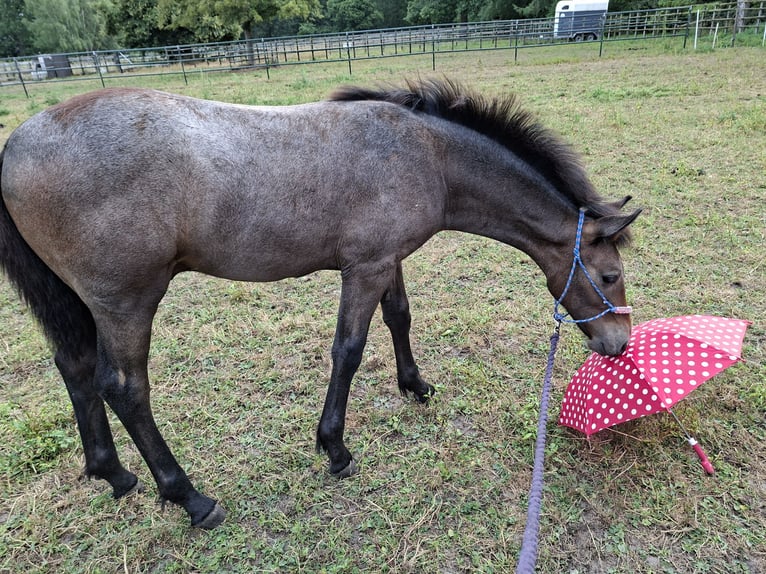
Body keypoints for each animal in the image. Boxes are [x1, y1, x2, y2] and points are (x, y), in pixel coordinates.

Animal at [0, 79, 640, 529]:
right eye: (609, 275)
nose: (618, 344)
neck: (426, 153)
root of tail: (15, 145)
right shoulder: (365, 269)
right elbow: (348, 351)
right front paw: (334, 448)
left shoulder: (386, 259)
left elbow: (399, 317)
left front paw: (415, 386)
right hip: (127, 303)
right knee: (125, 389)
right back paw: (190, 498)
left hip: (80, 302)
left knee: (76, 368)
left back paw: (112, 474)